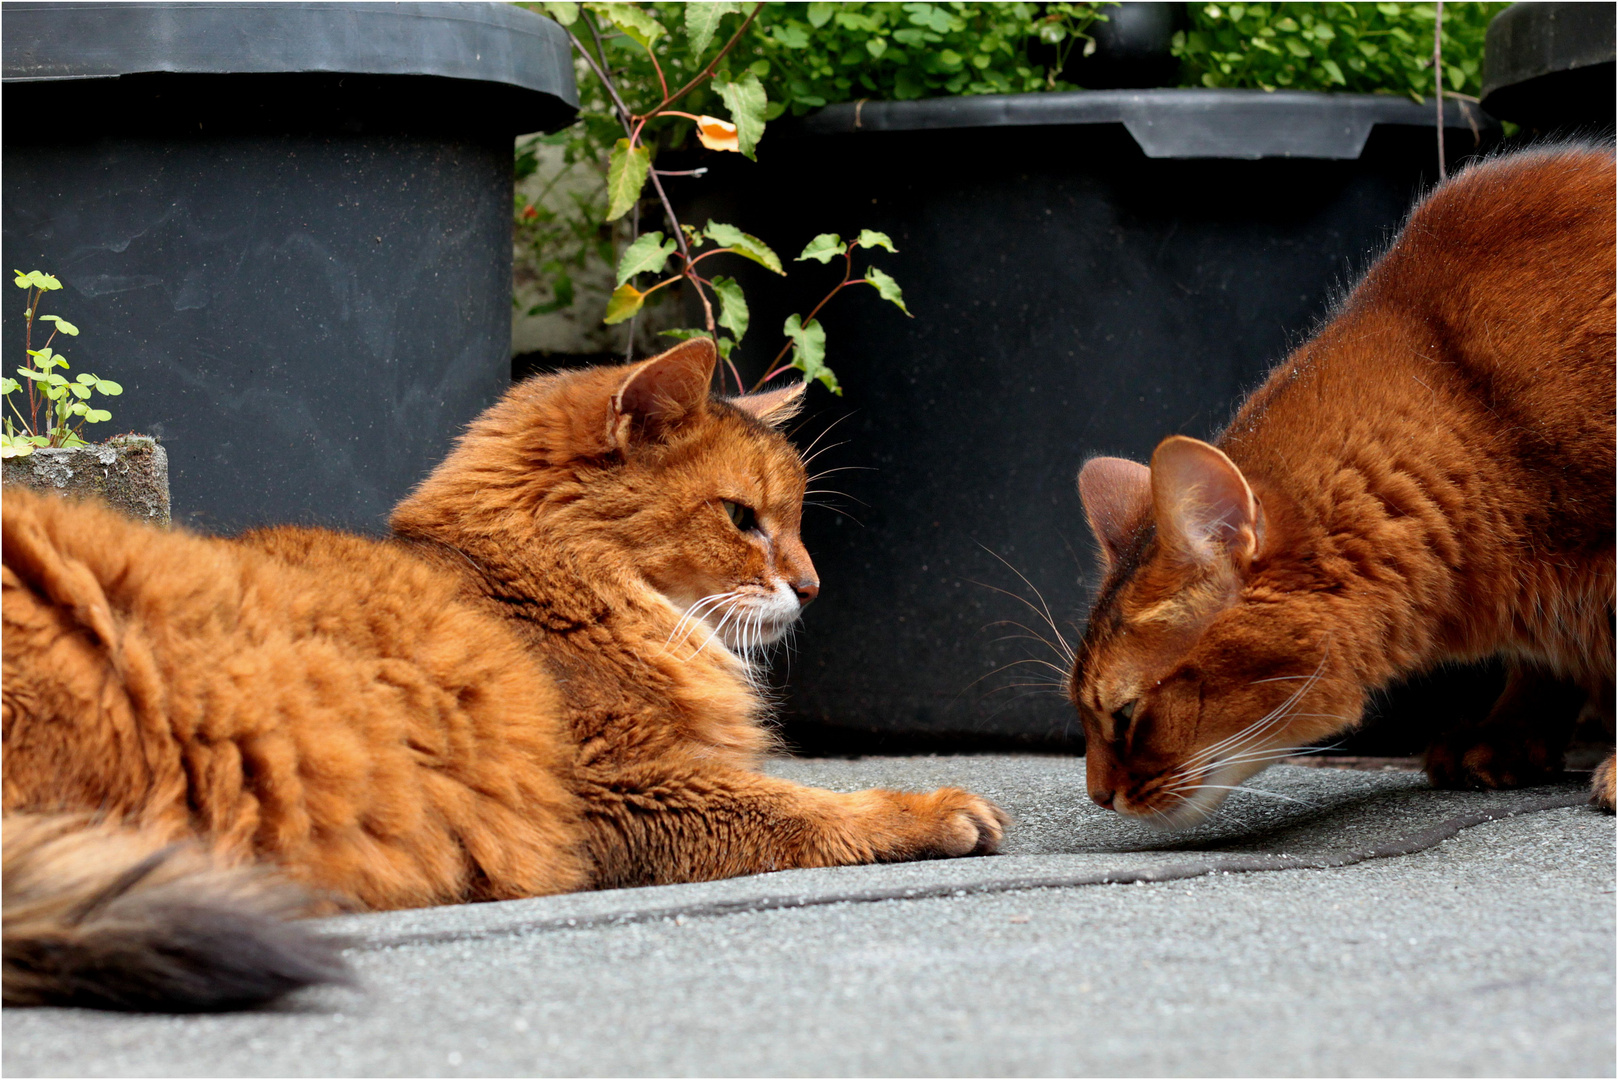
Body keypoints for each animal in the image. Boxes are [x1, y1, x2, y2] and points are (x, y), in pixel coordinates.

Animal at [3, 344, 1009, 1016]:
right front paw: (929, 811)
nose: (810, 587)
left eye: (796, 522)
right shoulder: (620, 788)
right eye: (741, 519)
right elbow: (799, 810)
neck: (545, 587)